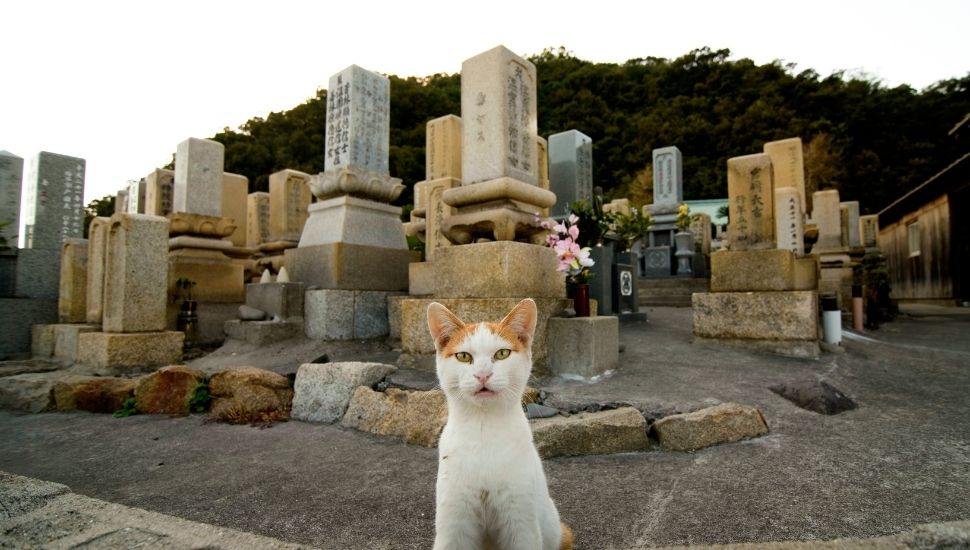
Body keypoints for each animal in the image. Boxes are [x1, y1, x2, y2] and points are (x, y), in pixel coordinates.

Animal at [428, 300, 572, 550]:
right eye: (463, 356)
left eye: (502, 353)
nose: (482, 375)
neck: (484, 429)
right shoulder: (454, 520)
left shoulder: (520, 519)